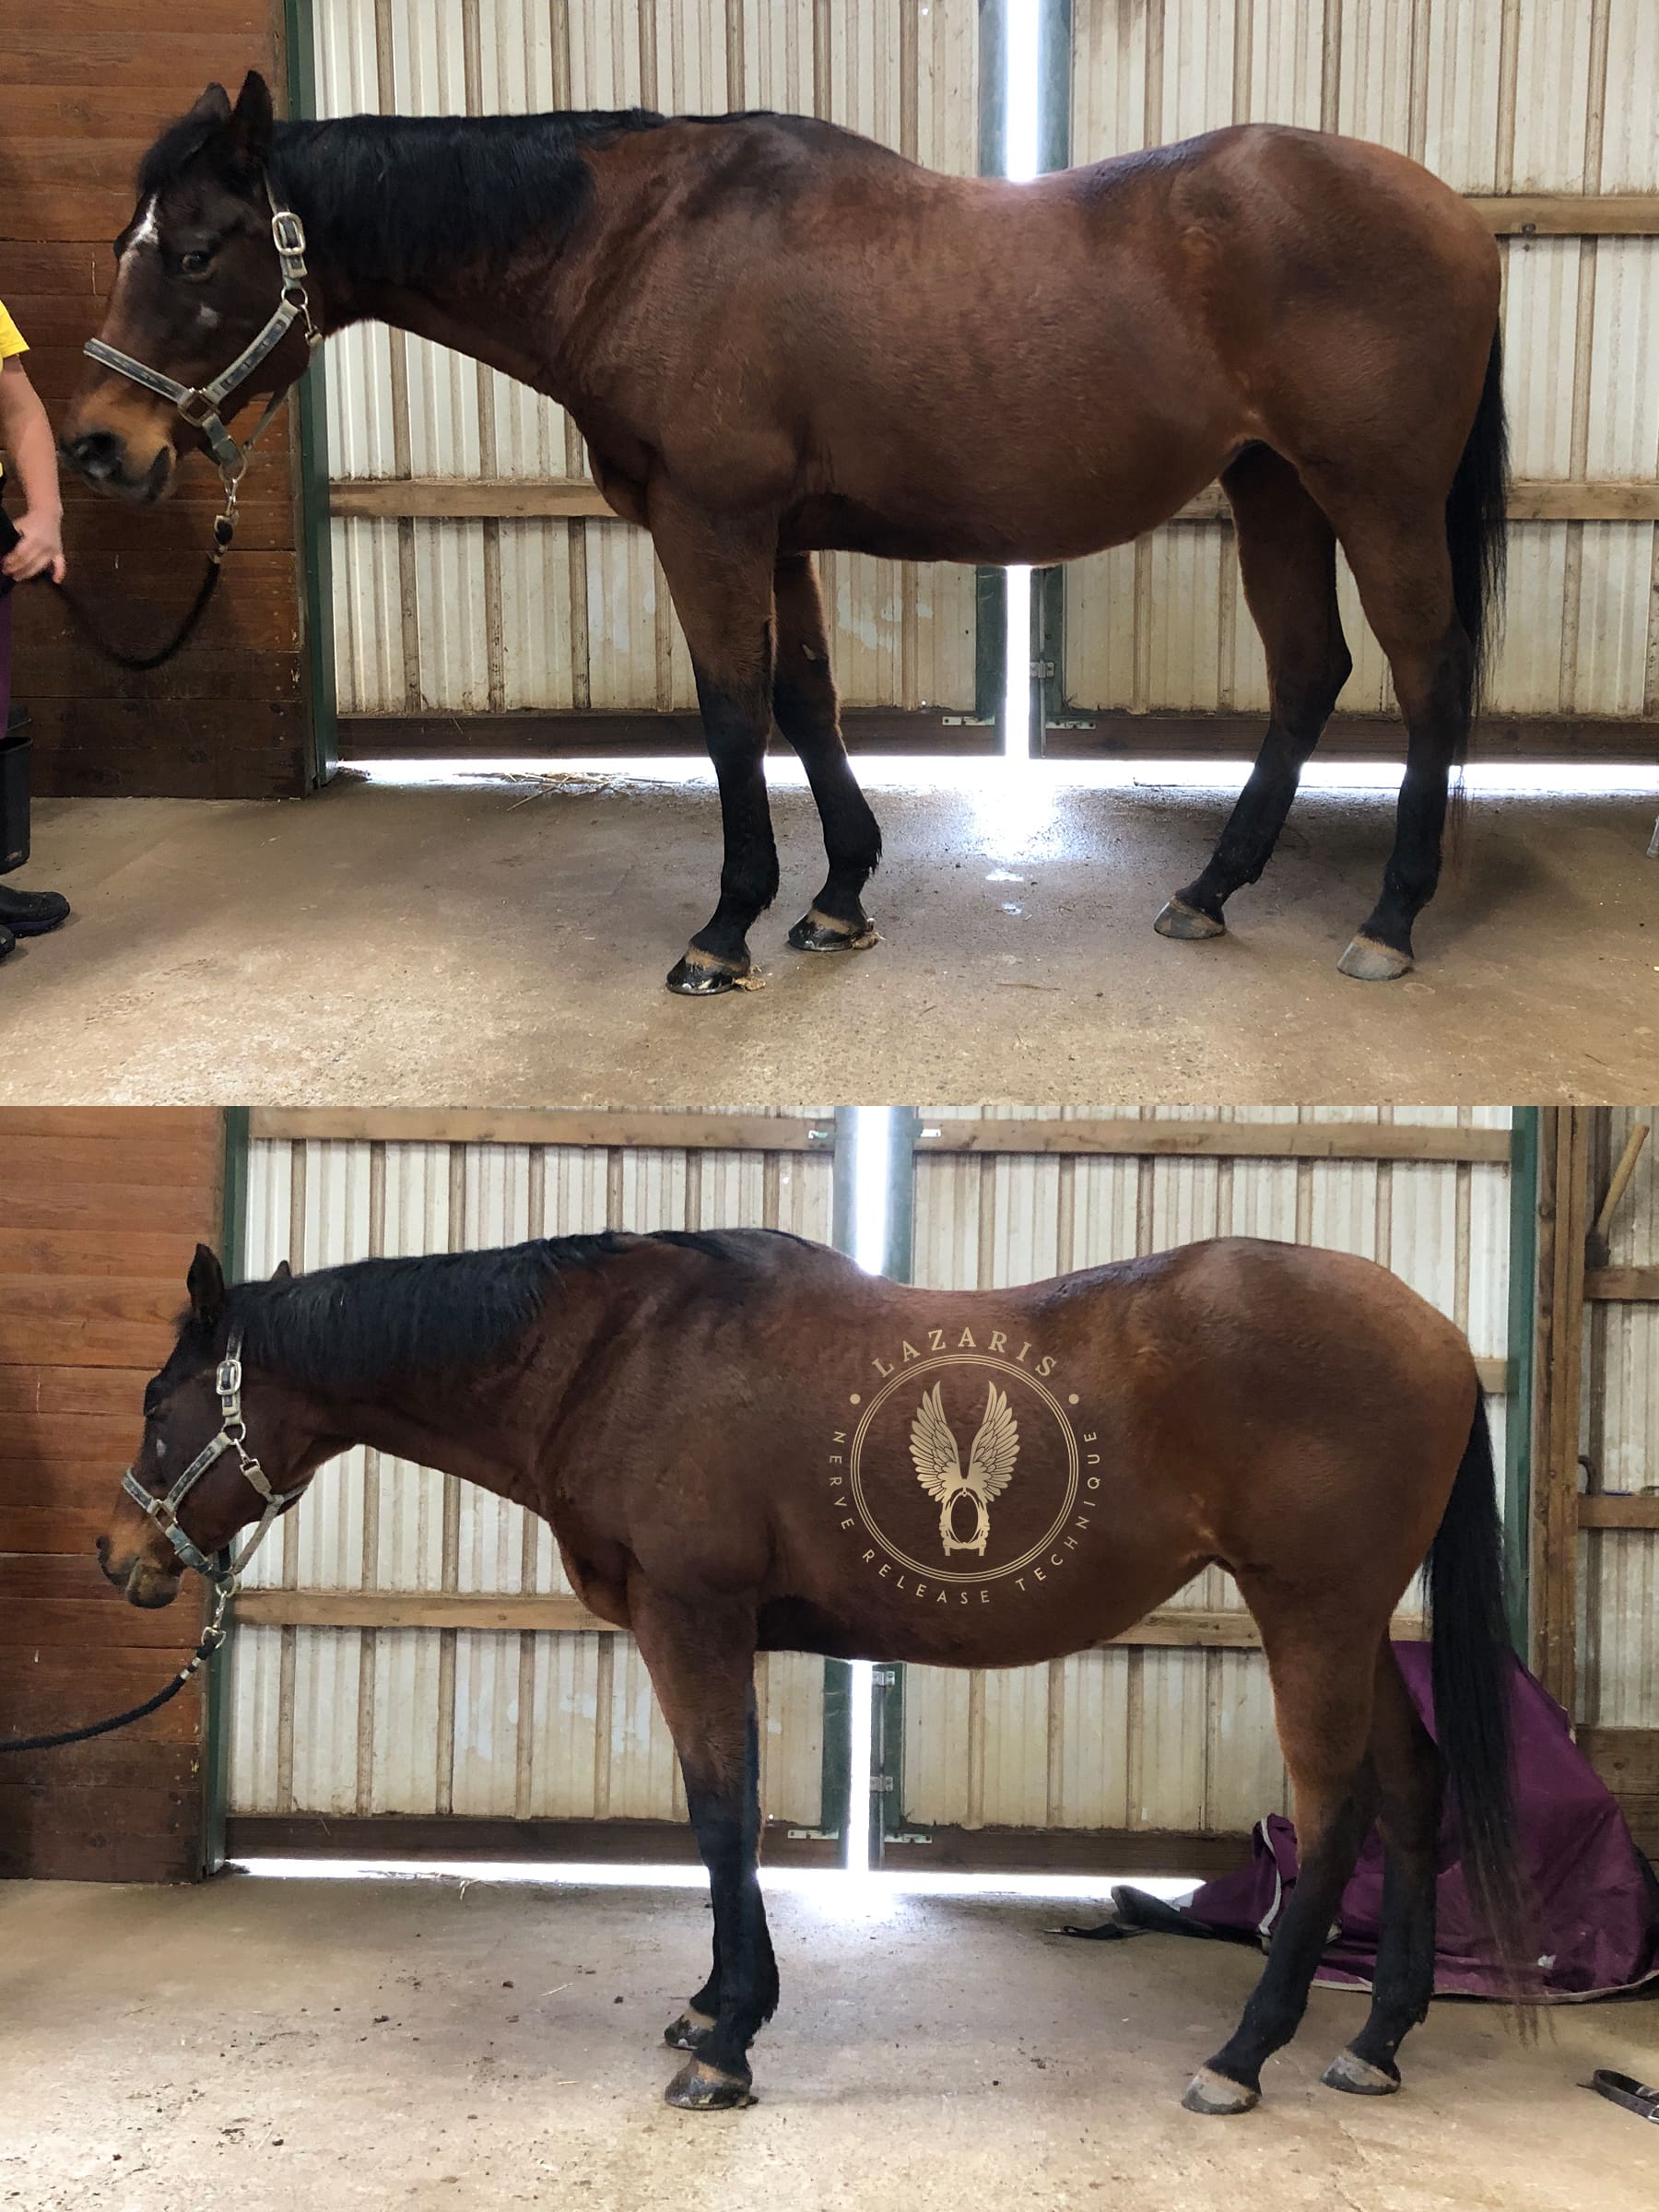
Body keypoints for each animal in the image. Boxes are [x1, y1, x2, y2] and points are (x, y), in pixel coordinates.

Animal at [61, 72, 1507, 997]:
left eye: (196, 252)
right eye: (133, 237)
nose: (98, 448)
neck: (637, 243)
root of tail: (1454, 215)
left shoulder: (707, 524)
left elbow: (730, 711)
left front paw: (727, 927)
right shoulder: (781, 536)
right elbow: (807, 697)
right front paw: (839, 899)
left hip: (1373, 496)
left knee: (1427, 675)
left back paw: (1390, 918)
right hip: (1276, 491)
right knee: (1311, 672)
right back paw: (1211, 892)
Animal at [99, 1226, 1534, 2117]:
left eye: (161, 1404)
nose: (119, 1555)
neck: (613, 1355)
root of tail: (1433, 1333)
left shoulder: (693, 1618)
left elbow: (721, 1816)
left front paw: (727, 2041)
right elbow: (718, 1818)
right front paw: (708, 2010)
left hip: (1313, 1616)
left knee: (1338, 1812)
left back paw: (1242, 2057)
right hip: (1353, 1623)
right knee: (1416, 1791)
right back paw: (1376, 2041)